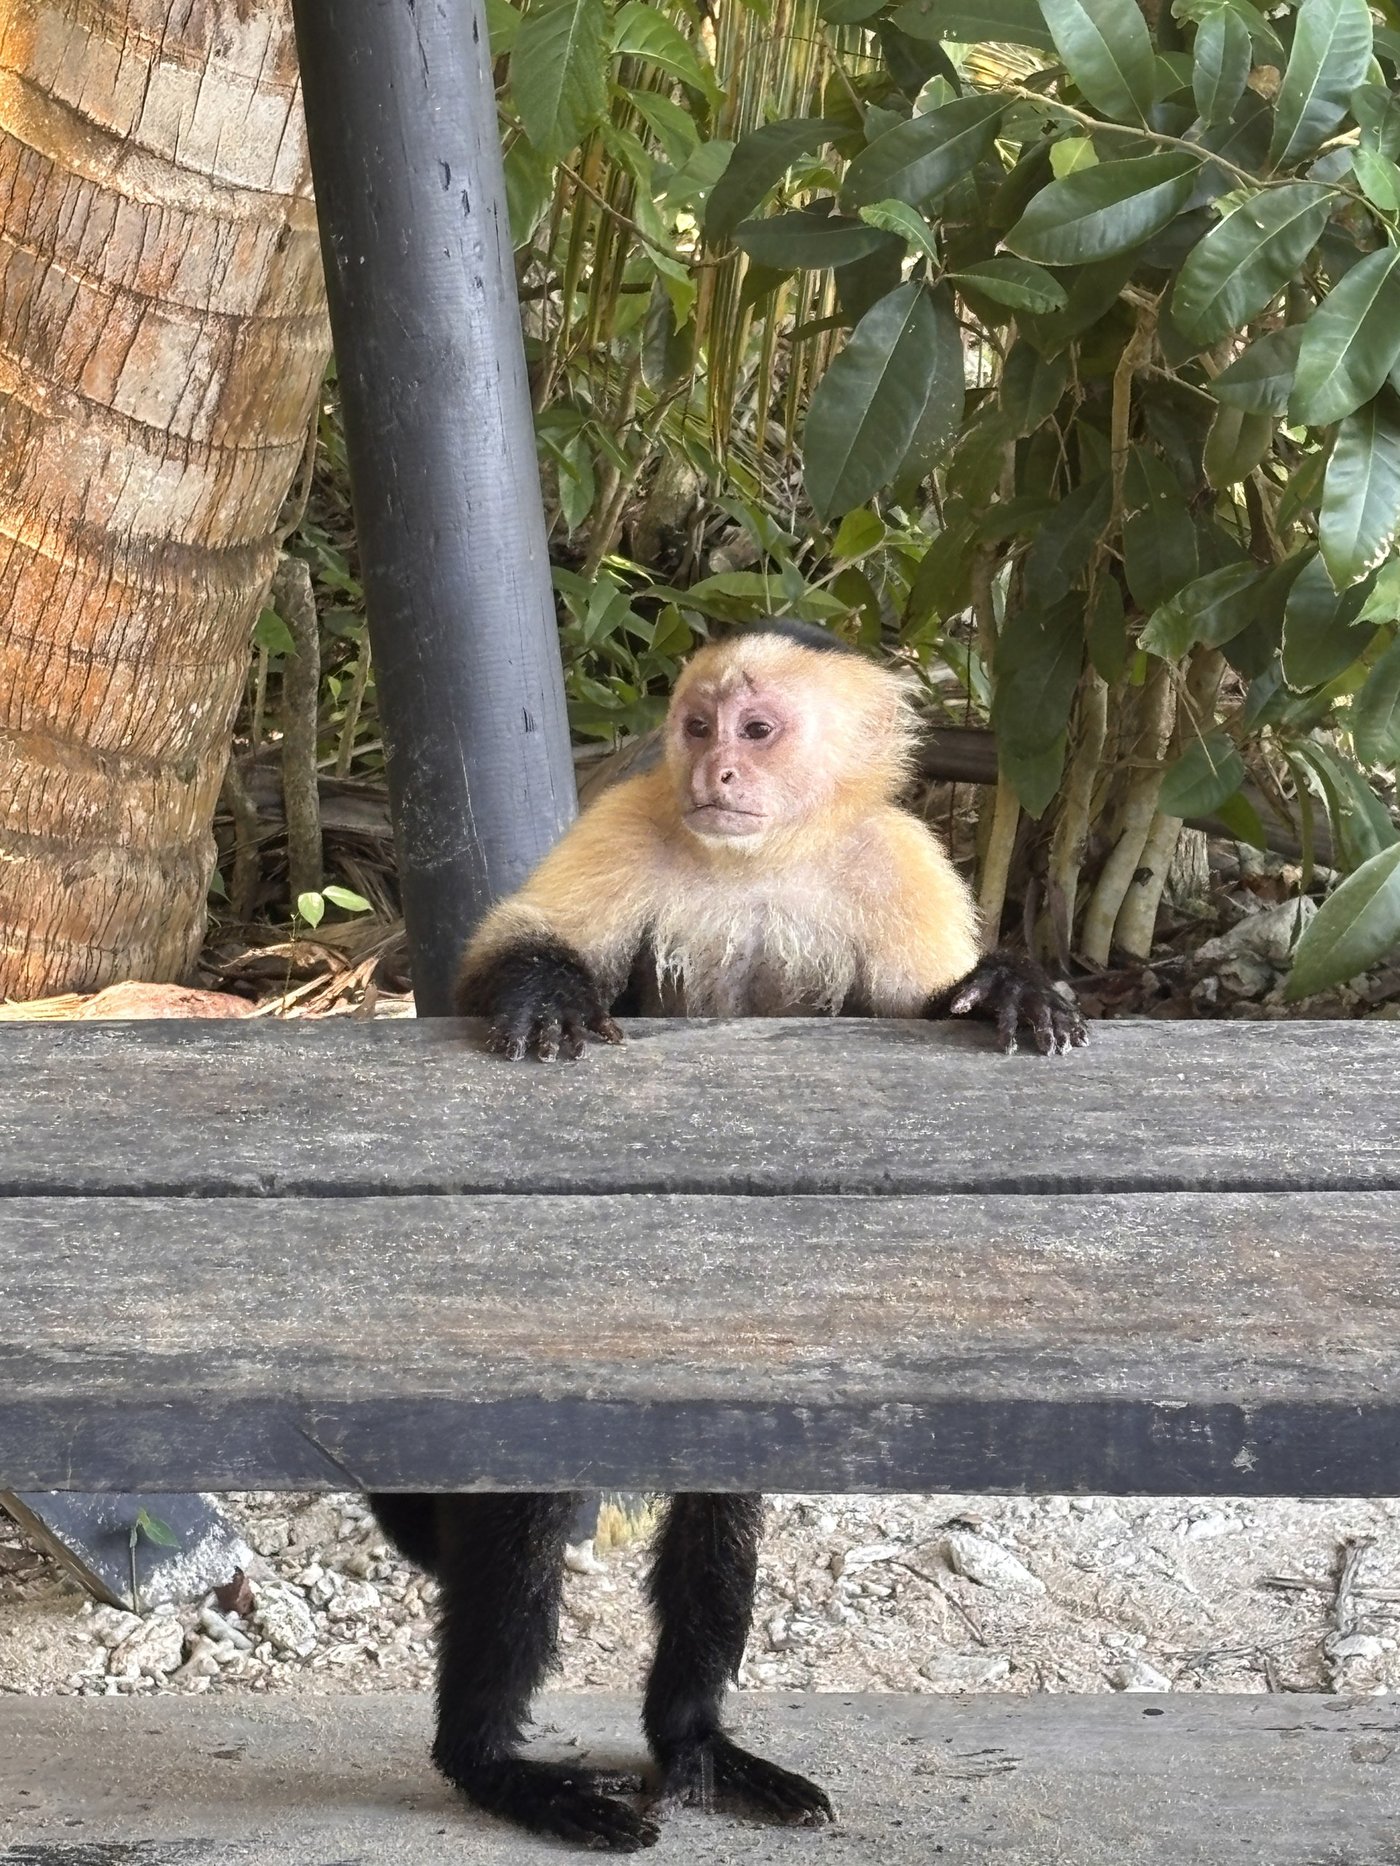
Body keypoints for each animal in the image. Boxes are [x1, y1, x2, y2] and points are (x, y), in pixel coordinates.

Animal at [371, 620, 1086, 1852]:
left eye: (757, 731)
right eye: (699, 727)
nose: (714, 772)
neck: (762, 862)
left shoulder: (893, 859)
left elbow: (925, 1001)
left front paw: (1007, 984)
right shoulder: (627, 818)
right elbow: (492, 966)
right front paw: (543, 993)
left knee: (720, 1503)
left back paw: (693, 1742)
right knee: (526, 1511)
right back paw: (493, 1766)